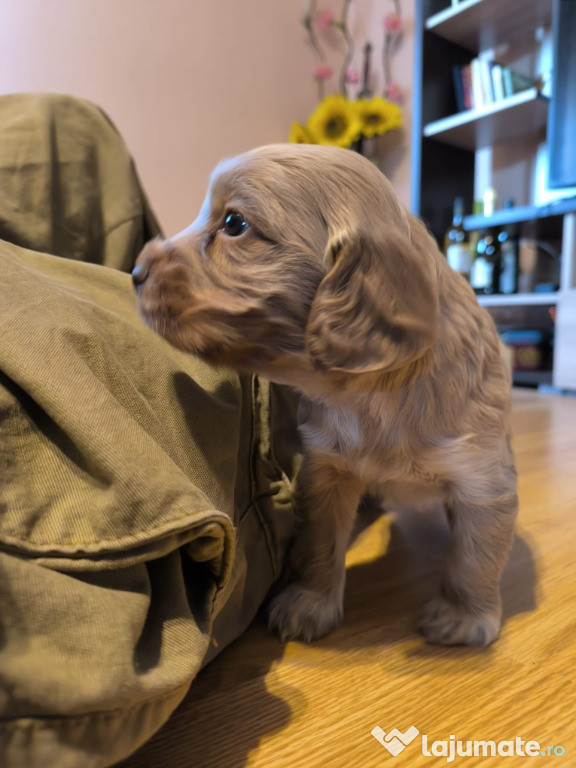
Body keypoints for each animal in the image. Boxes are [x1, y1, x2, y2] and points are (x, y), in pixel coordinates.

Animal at [134, 144, 516, 648]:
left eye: (234, 223)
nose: (134, 271)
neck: (373, 392)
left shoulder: (483, 477)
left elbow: (476, 554)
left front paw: (463, 617)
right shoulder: (325, 467)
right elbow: (320, 539)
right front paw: (309, 602)